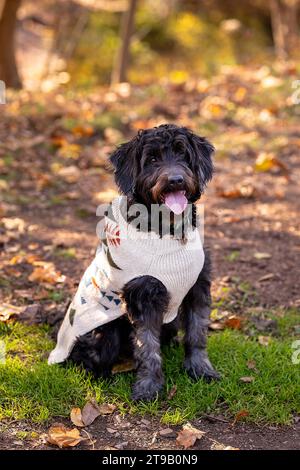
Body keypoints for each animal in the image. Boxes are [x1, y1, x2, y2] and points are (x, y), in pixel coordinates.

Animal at [68, 123, 219, 398]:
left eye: (182, 154)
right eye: (152, 159)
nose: (175, 180)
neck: (168, 232)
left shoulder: (198, 286)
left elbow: (196, 333)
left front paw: (200, 369)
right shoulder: (143, 295)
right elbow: (147, 345)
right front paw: (149, 386)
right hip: (104, 333)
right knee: (86, 357)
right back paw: (102, 376)